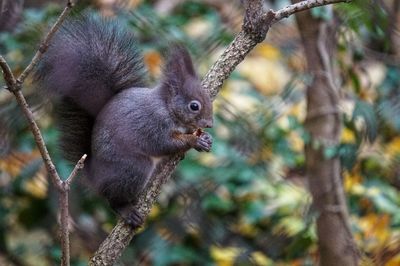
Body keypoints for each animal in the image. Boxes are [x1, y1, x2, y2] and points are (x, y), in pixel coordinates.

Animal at [34, 13, 214, 228]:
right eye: (194, 106)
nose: (210, 123)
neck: (167, 106)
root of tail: (96, 177)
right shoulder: (152, 123)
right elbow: (163, 144)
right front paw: (194, 141)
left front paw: (205, 139)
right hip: (133, 168)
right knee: (114, 198)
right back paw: (126, 210)